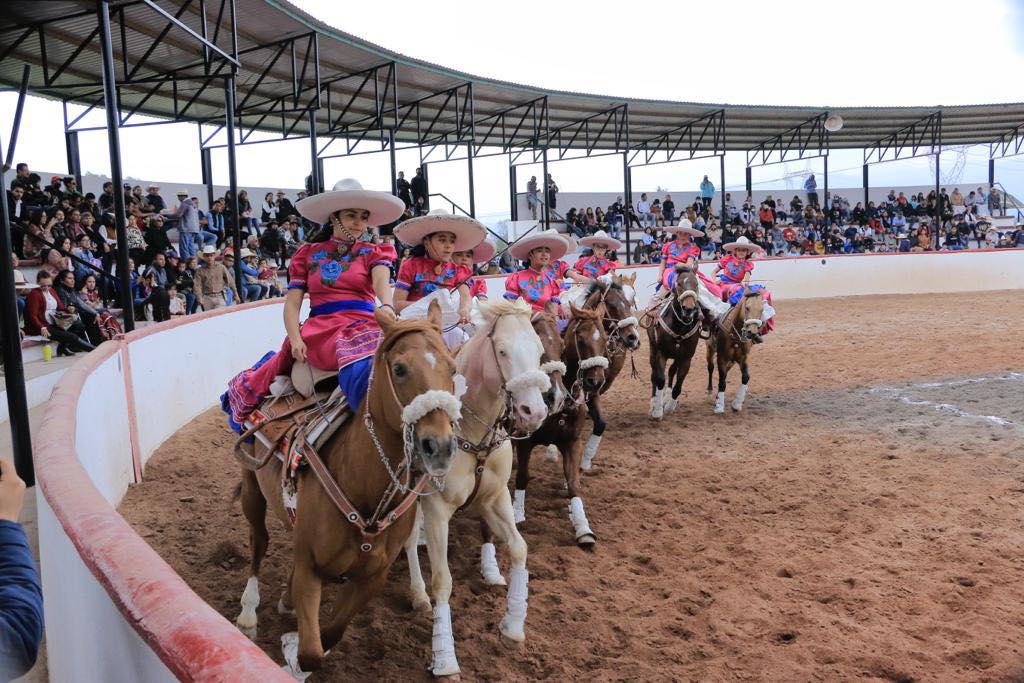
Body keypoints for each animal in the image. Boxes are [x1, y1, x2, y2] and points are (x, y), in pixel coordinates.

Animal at [232, 305, 460, 679]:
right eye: (399, 368)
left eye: (453, 368)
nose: (439, 446)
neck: (363, 487)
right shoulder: (310, 568)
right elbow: (312, 652)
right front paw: (292, 658)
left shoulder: (372, 578)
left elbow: (331, 634)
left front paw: (293, 645)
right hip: (253, 488)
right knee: (258, 541)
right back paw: (249, 611)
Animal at [403, 299, 557, 679]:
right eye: (501, 351)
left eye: (538, 350)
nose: (534, 411)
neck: (470, 433)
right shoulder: (436, 509)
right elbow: (442, 581)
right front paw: (445, 660)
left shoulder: (495, 498)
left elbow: (518, 548)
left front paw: (513, 626)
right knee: (410, 542)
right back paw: (418, 594)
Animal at [509, 301, 606, 548]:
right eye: (581, 338)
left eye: (603, 338)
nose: (596, 381)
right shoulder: (525, 440)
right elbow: (522, 476)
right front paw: (517, 514)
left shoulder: (572, 442)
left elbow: (574, 484)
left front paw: (583, 528)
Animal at [647, 264, 704, 419]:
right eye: (678, 284)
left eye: (696, 284)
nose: (689, 308)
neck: (679, 328)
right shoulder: (661, 353)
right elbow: (660, 379)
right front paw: (657, 410)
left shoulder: (686, 358)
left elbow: (678, 384)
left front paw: (669, 406)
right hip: (652, 349)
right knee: (654, 374)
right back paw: (654, 401)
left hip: (677, 357)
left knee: (672, 371)